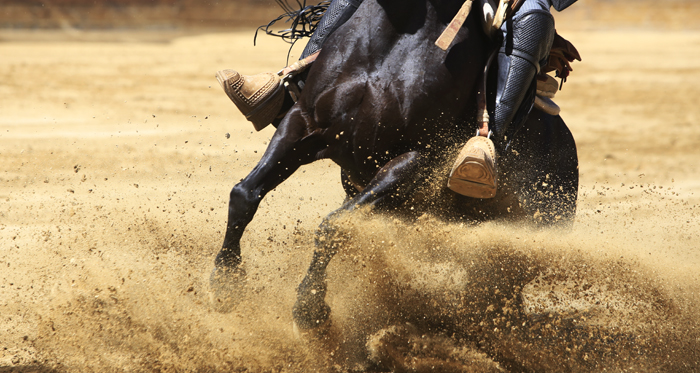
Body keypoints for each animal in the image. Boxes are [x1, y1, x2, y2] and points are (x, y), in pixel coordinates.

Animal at [211, 0, 576, 332]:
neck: (395, 37)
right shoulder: (303, 124)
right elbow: (244, 194)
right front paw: (225, 283)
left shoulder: (416, 158)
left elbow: (335, 226)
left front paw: (310, 306)